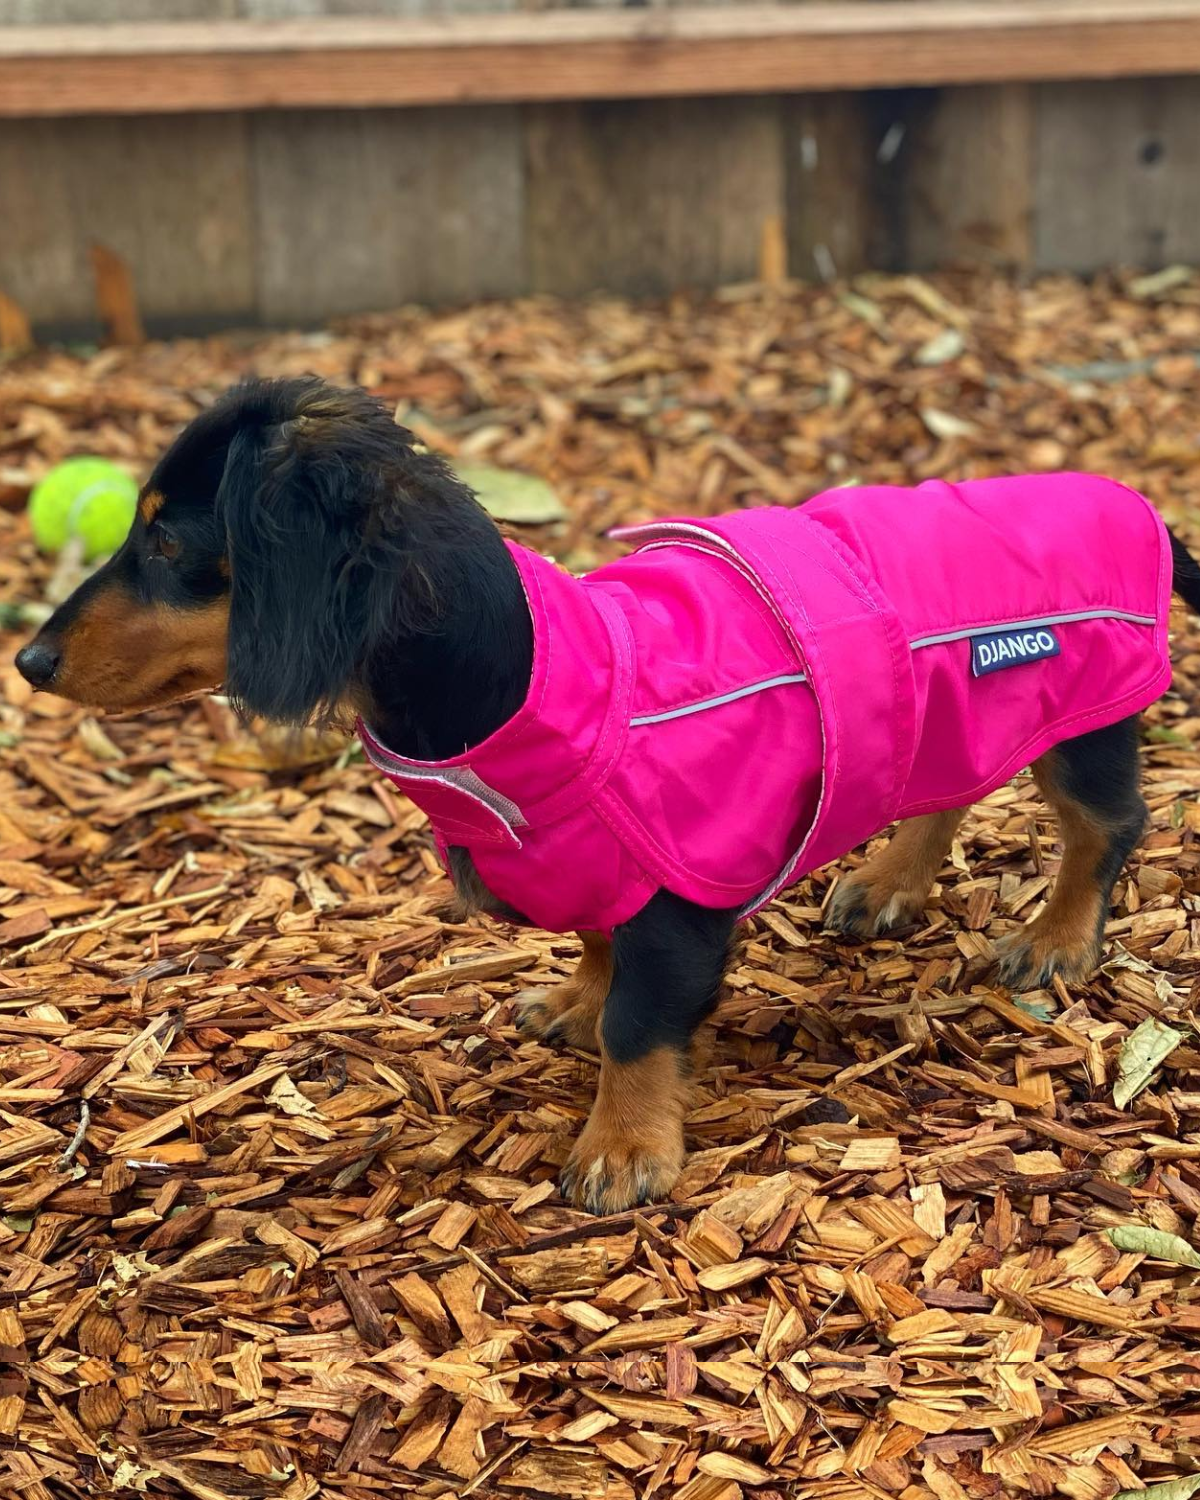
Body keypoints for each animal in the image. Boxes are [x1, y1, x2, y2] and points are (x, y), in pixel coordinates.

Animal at [16, 378, 1200, 1218]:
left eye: (170, 541)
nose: (27, 660)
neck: (537, 685)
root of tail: (1138, 504)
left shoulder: (684, 895)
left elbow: (641, 1021)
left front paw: (624, 1147)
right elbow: (596, 942)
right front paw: (578, 1001)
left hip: (1085, 716)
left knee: (1103, 827)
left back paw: (1056, 940)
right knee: (947, 788)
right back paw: (892, 881)